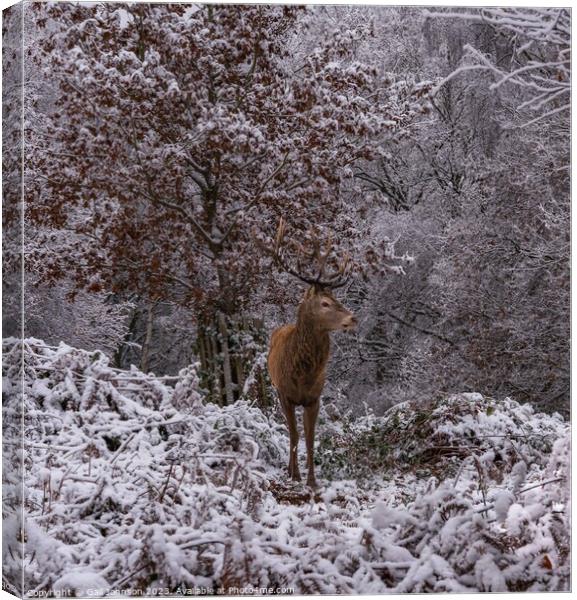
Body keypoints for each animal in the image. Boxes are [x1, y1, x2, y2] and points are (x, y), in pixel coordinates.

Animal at [266, 218, 356, 490]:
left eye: (336, 298)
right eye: (324, 303)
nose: (353, 318)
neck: (302, 374)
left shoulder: (314, 397)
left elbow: (309, 437)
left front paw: (312, 480)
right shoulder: (285, 394)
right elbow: (295, 435)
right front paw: (295, 476)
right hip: (276, 391)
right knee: (289, 431)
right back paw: (289, 469)